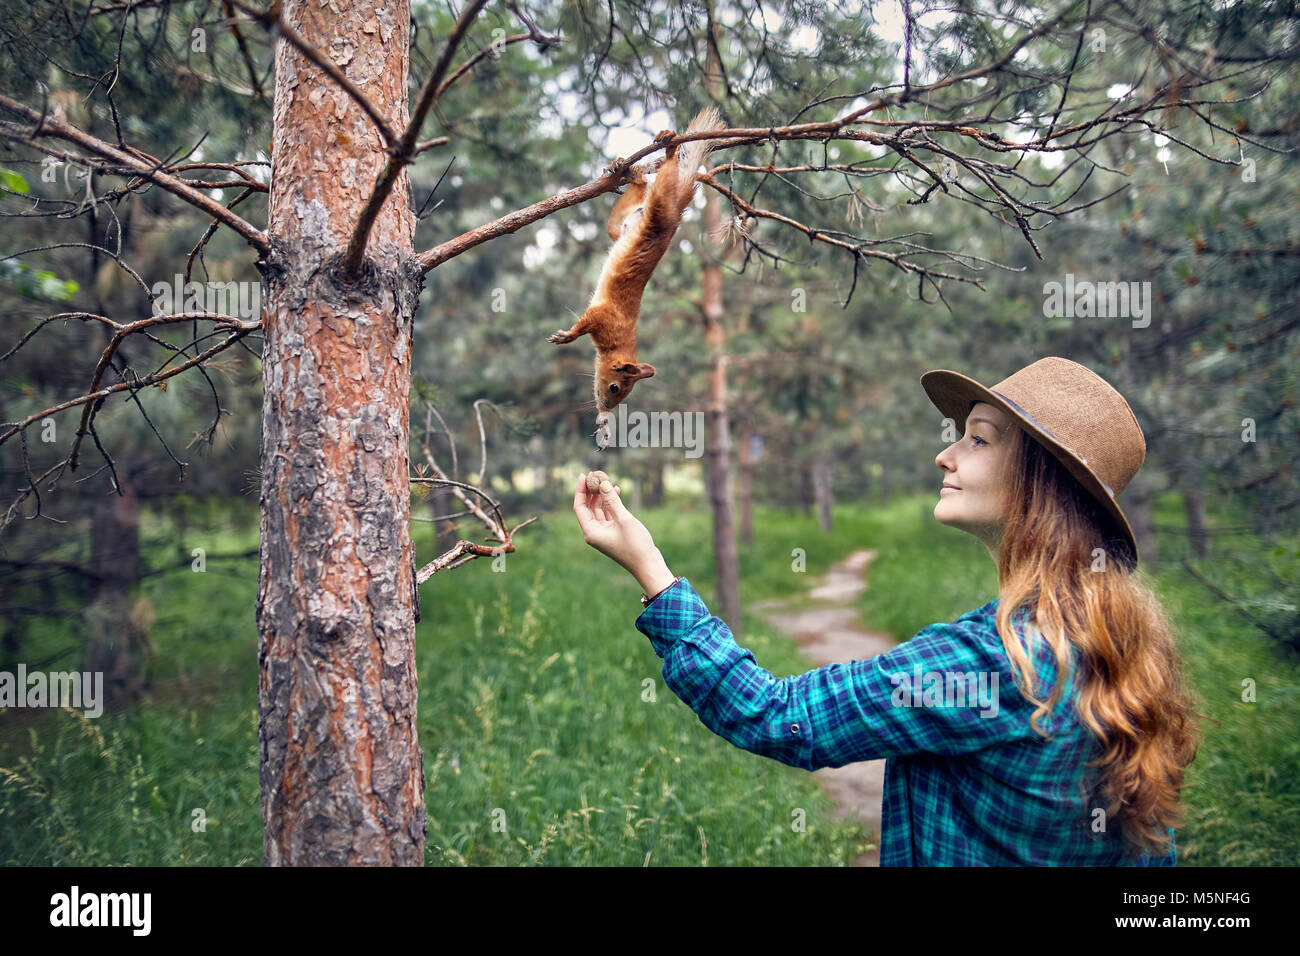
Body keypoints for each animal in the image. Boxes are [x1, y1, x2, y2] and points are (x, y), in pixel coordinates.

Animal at [548, 104, 728, 447]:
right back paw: (666, 147)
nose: (606, 407)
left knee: (640, 190)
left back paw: (632, 172)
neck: (620, 341)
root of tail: (674, 220)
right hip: (659, 207)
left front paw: (604, 427)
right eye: (615, 387)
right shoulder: (602, 316)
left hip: (623, 223)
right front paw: (567, 337)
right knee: (665, 176)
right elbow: (583, 324)